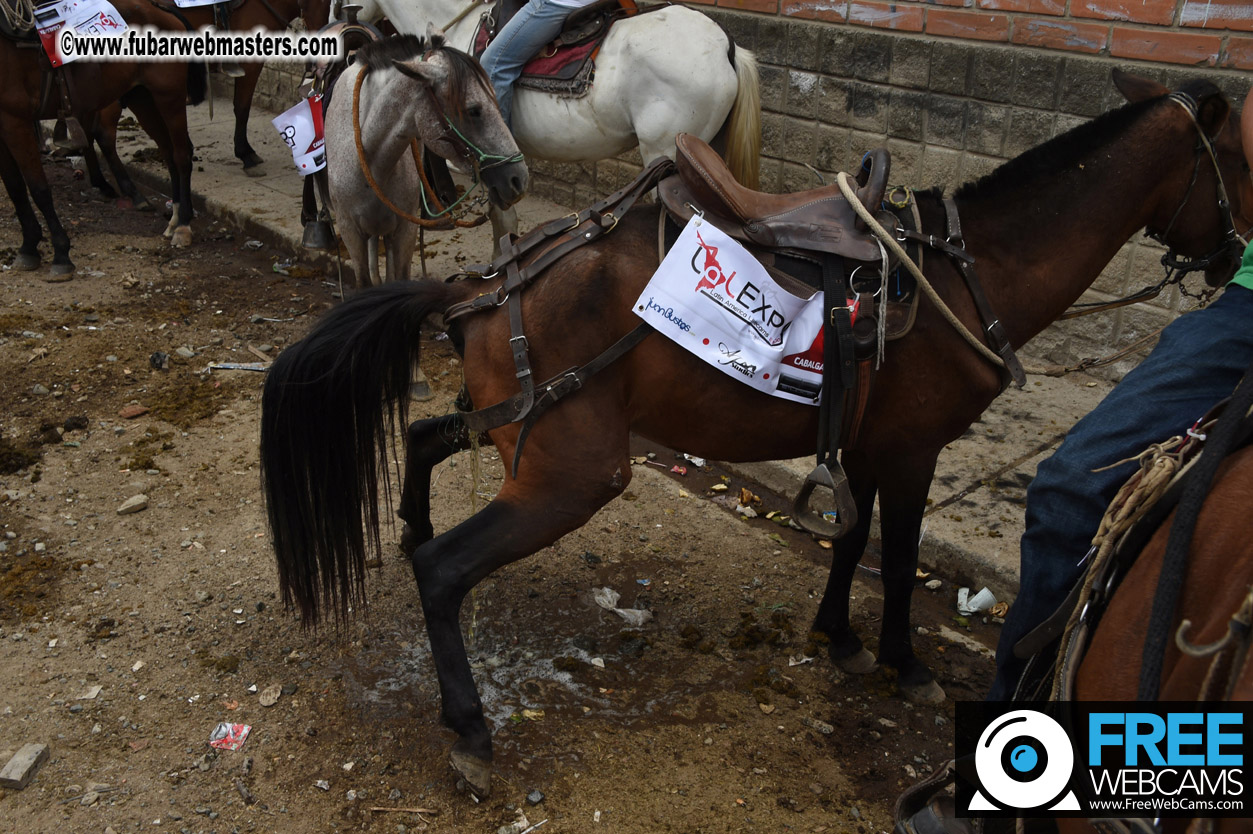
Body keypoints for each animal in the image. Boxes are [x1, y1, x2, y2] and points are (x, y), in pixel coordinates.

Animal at [0, 0, 207, 274]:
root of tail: (160, 9)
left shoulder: (15, 121)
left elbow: (38, 189)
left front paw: (61, 253)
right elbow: (15, 188)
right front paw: (29, 247)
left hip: (169, 96)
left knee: (182, 155)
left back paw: (183, 224)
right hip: (142, 98)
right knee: (169, 154)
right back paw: (173, 217)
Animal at [256, 71, 1253, 791]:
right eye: (1243, 162)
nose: (1229, 262)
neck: (963, 272)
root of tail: (480, 286)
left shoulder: (863, 443)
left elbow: (848, 537)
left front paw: (837, 636)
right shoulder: (913, 451)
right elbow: (897, 559)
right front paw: (900, 661)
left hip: (513, 433)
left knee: (427, 441)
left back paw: (410, 529)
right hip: (571, 474)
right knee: (444, 570)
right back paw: (467, 725)